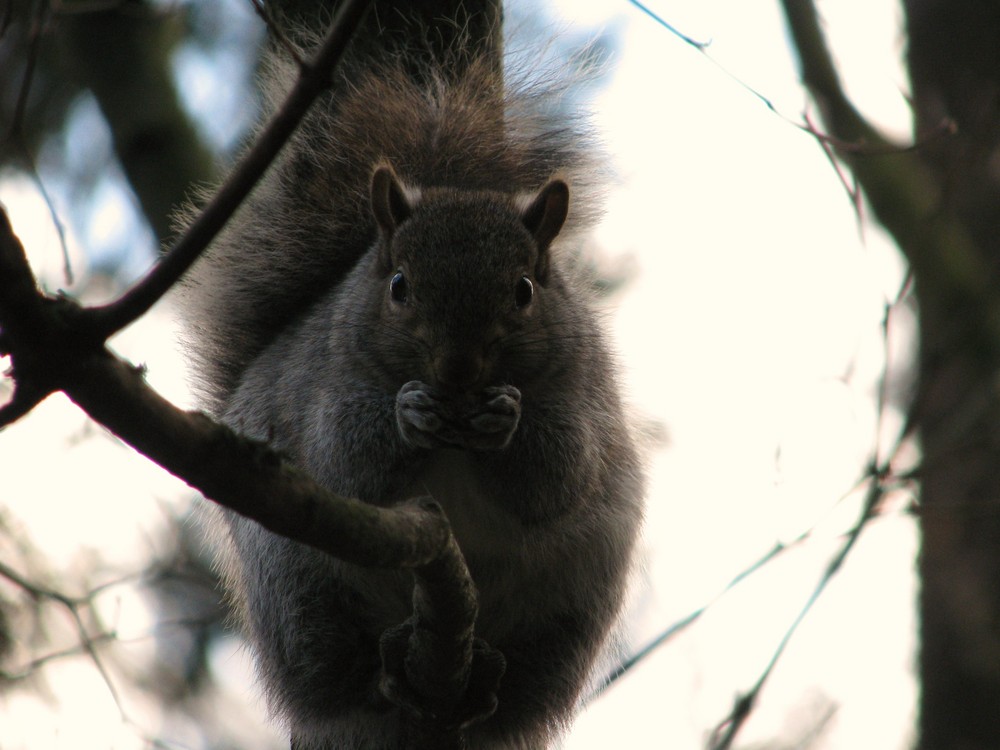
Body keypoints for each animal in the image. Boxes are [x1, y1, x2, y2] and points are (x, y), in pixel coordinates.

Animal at [181, 11, 644, 750]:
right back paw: (387, 666)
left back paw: (485, 676)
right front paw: (409, 413)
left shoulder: (583, 394)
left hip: (568, 607)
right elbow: (347, 464)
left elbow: (559, 475)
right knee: (340, 670)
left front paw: (506, 419)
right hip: (298, 586)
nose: (456, 370)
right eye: (399, 285)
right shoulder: (324, 388)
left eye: (524, 291)